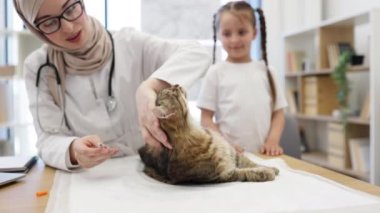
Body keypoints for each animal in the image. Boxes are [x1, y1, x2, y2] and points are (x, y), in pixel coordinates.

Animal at [138, 84, 278, 184]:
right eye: (172, 92)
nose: (176, 84)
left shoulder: (234, 154)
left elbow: (251, 163)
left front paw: (272, 168)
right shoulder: (225, 174)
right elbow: (248, 172)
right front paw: (267, 172)